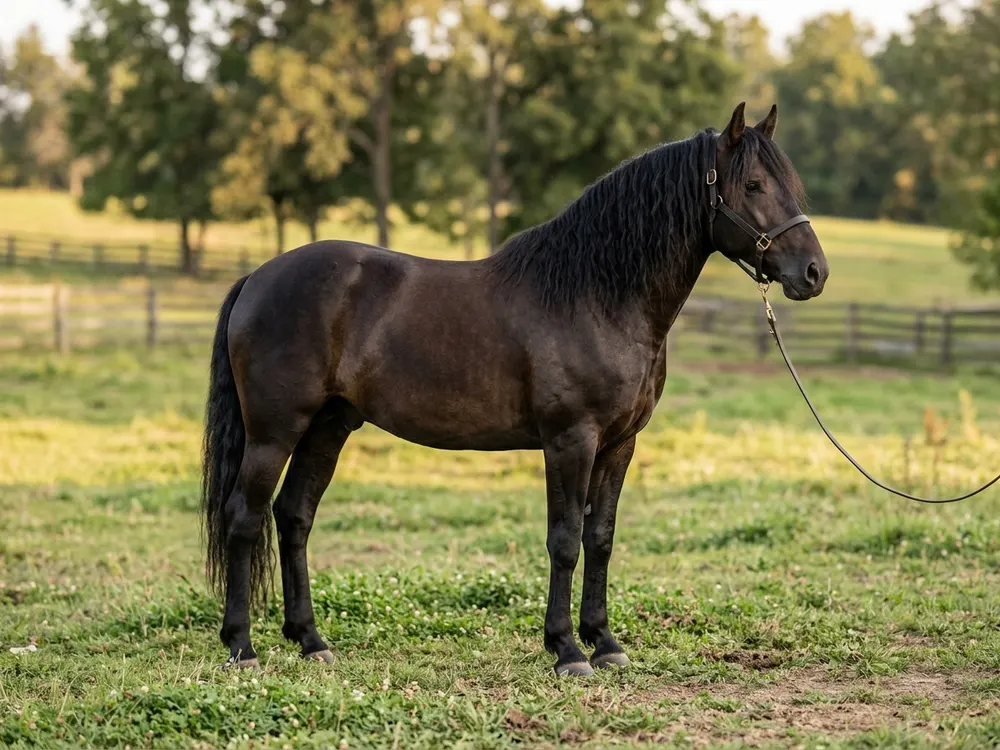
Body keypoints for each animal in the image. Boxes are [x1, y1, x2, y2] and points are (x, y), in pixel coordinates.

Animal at [201, 102, 829, 676]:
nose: (814, 273)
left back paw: (311, 640)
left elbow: (601, 537)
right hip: (274, 432)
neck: (597, 296)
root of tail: (257, 277)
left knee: (294, 516)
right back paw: (242, 647)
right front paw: (568, 651)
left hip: (328, 426)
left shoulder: (620, 444)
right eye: (753, 184)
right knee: (245, 517)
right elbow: (565, 539)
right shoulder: (570, 440)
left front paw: (605, 643)